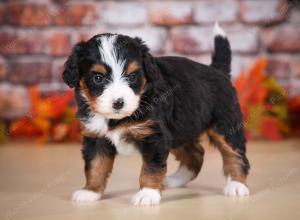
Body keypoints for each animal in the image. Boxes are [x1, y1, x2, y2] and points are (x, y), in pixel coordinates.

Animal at [63, 23, 251, 205]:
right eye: (98, 78)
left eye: (132, 76)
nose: (118, 103)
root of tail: (217, 70)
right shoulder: (96, 137)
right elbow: (95, 166)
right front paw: (90, 192)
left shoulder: (155, 136)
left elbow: (151, 168)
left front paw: (147, 194)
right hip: (180, 131)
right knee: (196, 154)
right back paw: (175, 180)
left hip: (225, 124)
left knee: (235, 153)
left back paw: (237, 185)